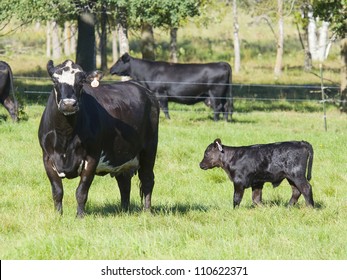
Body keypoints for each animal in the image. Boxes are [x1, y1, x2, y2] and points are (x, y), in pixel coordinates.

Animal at [37, 59, 160, 217]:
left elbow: (81, 191)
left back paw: (147, 211)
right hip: (122, 156)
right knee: (124, 183)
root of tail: (142, 88)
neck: (65, 136)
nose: (69, 104)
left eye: (81, 81)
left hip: (149, 149)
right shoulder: (47, 157)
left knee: (147, 179)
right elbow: (57, 191)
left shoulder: (92, 157)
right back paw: (124, 210)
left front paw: (80, 216)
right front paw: (58, 215)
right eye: (54, 80)